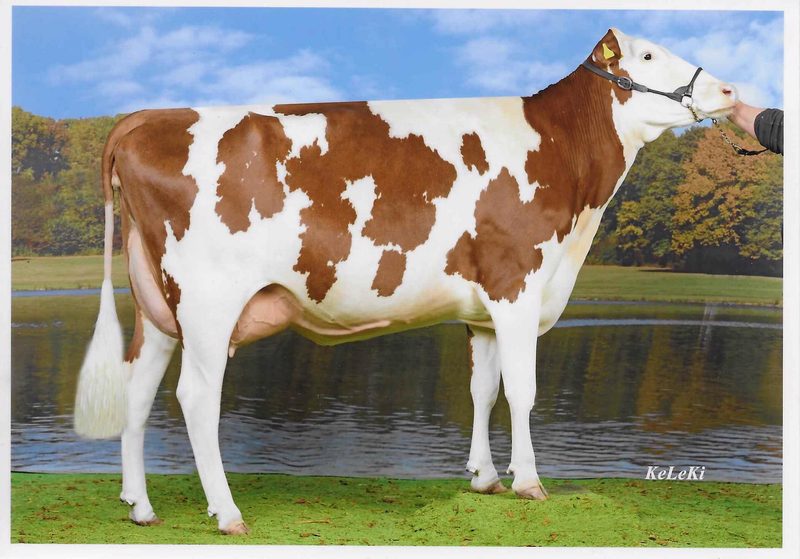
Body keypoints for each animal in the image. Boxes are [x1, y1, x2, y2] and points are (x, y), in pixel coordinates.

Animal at [73, 28, 737, 534]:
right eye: (647, 56)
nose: (729, 90)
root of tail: (145, 118)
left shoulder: (482, 308)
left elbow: (483, 391)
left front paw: (485, 479)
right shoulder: (516, 283)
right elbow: (522, 392)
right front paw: (529, 482)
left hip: (158, 306)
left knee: (138, 389)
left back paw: (141, 508)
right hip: (208, 301)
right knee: (195, 397)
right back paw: (228, 513)